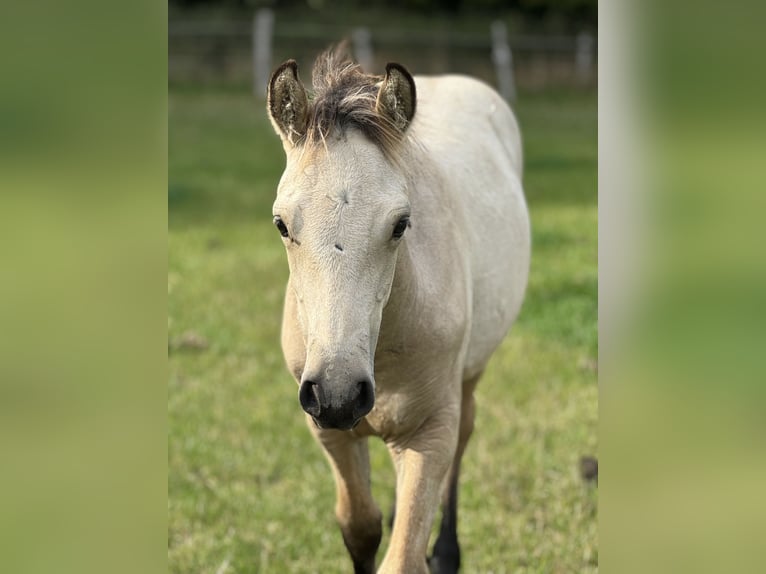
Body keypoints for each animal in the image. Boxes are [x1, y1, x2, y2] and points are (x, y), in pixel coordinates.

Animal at [266, 47, 530, 574]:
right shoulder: (329, 431)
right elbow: (361, 527)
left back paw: (446, 552)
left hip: (468, 377)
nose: (338, 393)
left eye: (400, 224)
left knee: (466, 434)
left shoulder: (429, 433)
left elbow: (403, 556)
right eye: (282, 224)